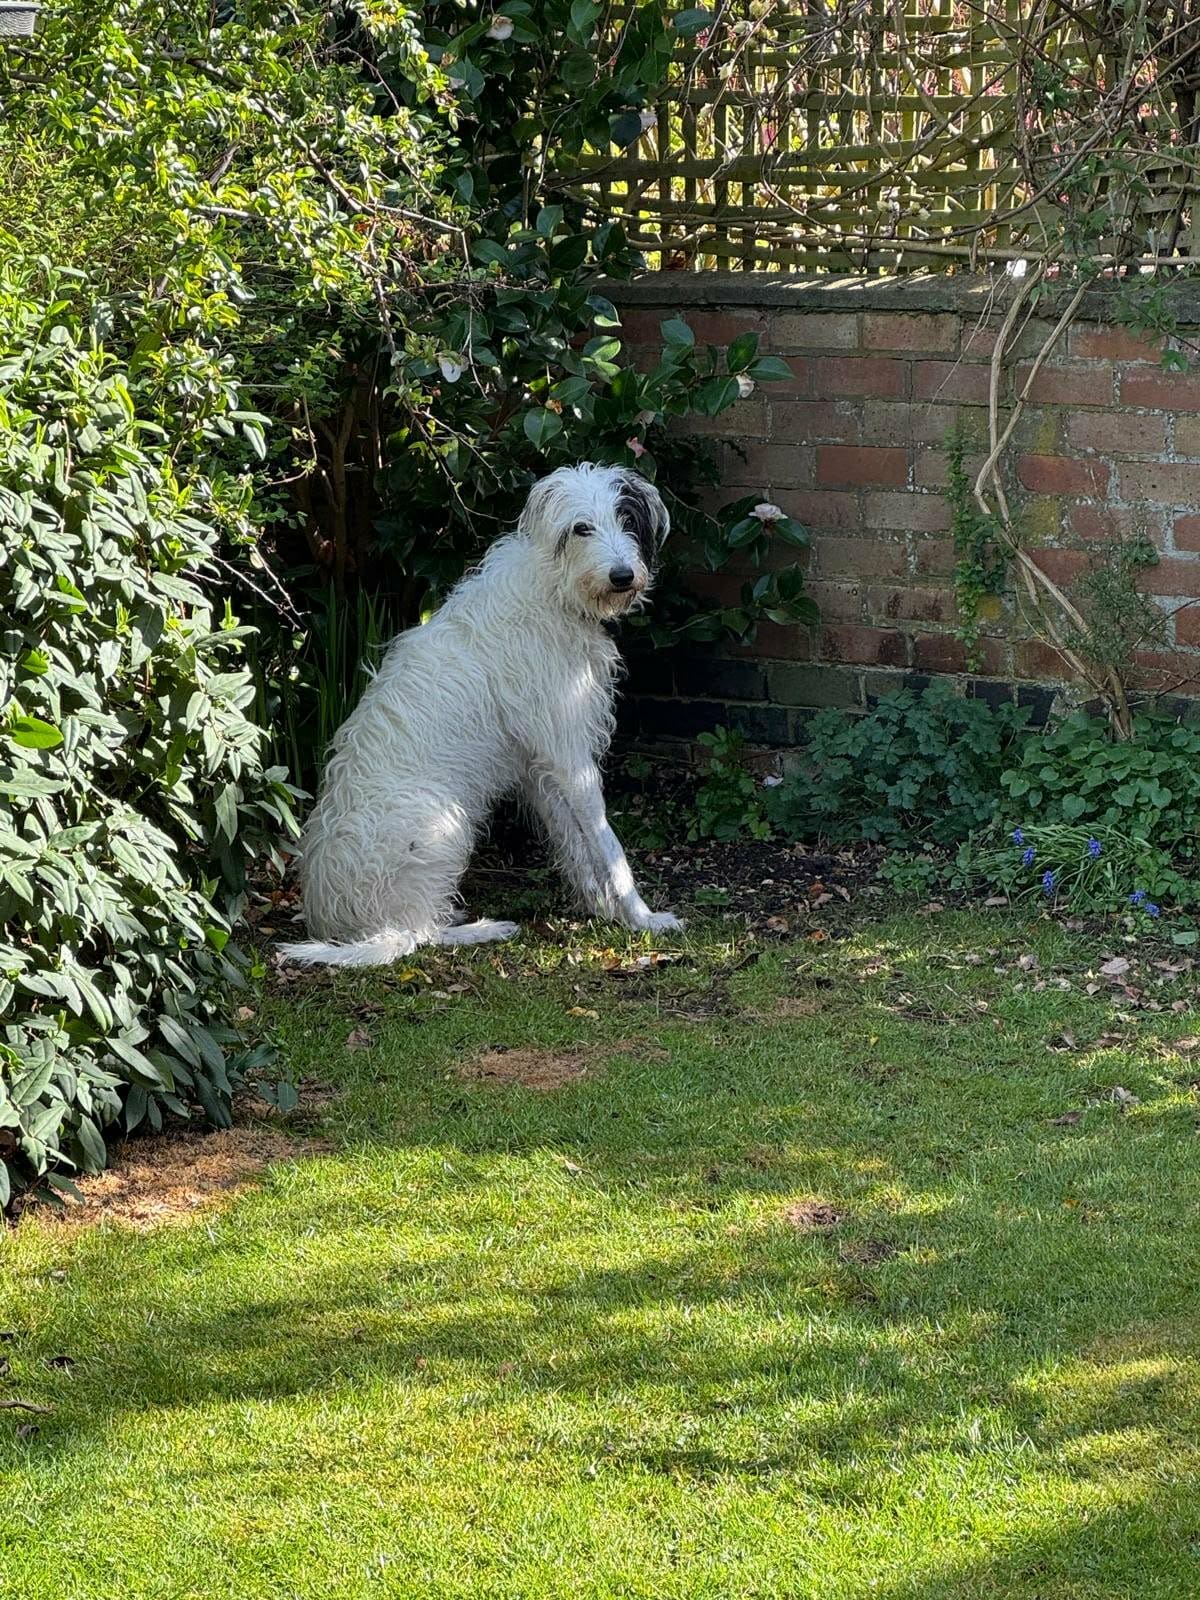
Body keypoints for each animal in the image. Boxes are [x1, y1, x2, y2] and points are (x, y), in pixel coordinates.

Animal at [279, 463, 684, 966]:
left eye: (626, 518)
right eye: (581, 528)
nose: (623, 576)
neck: (554, 590)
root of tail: (341, 923)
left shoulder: (541, 768)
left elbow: (575, 843)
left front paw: (602, 909)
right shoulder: (570, 758)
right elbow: (607, 842)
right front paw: (643, 917)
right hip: (443, 823)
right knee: (419, 937)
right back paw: (483, 929)